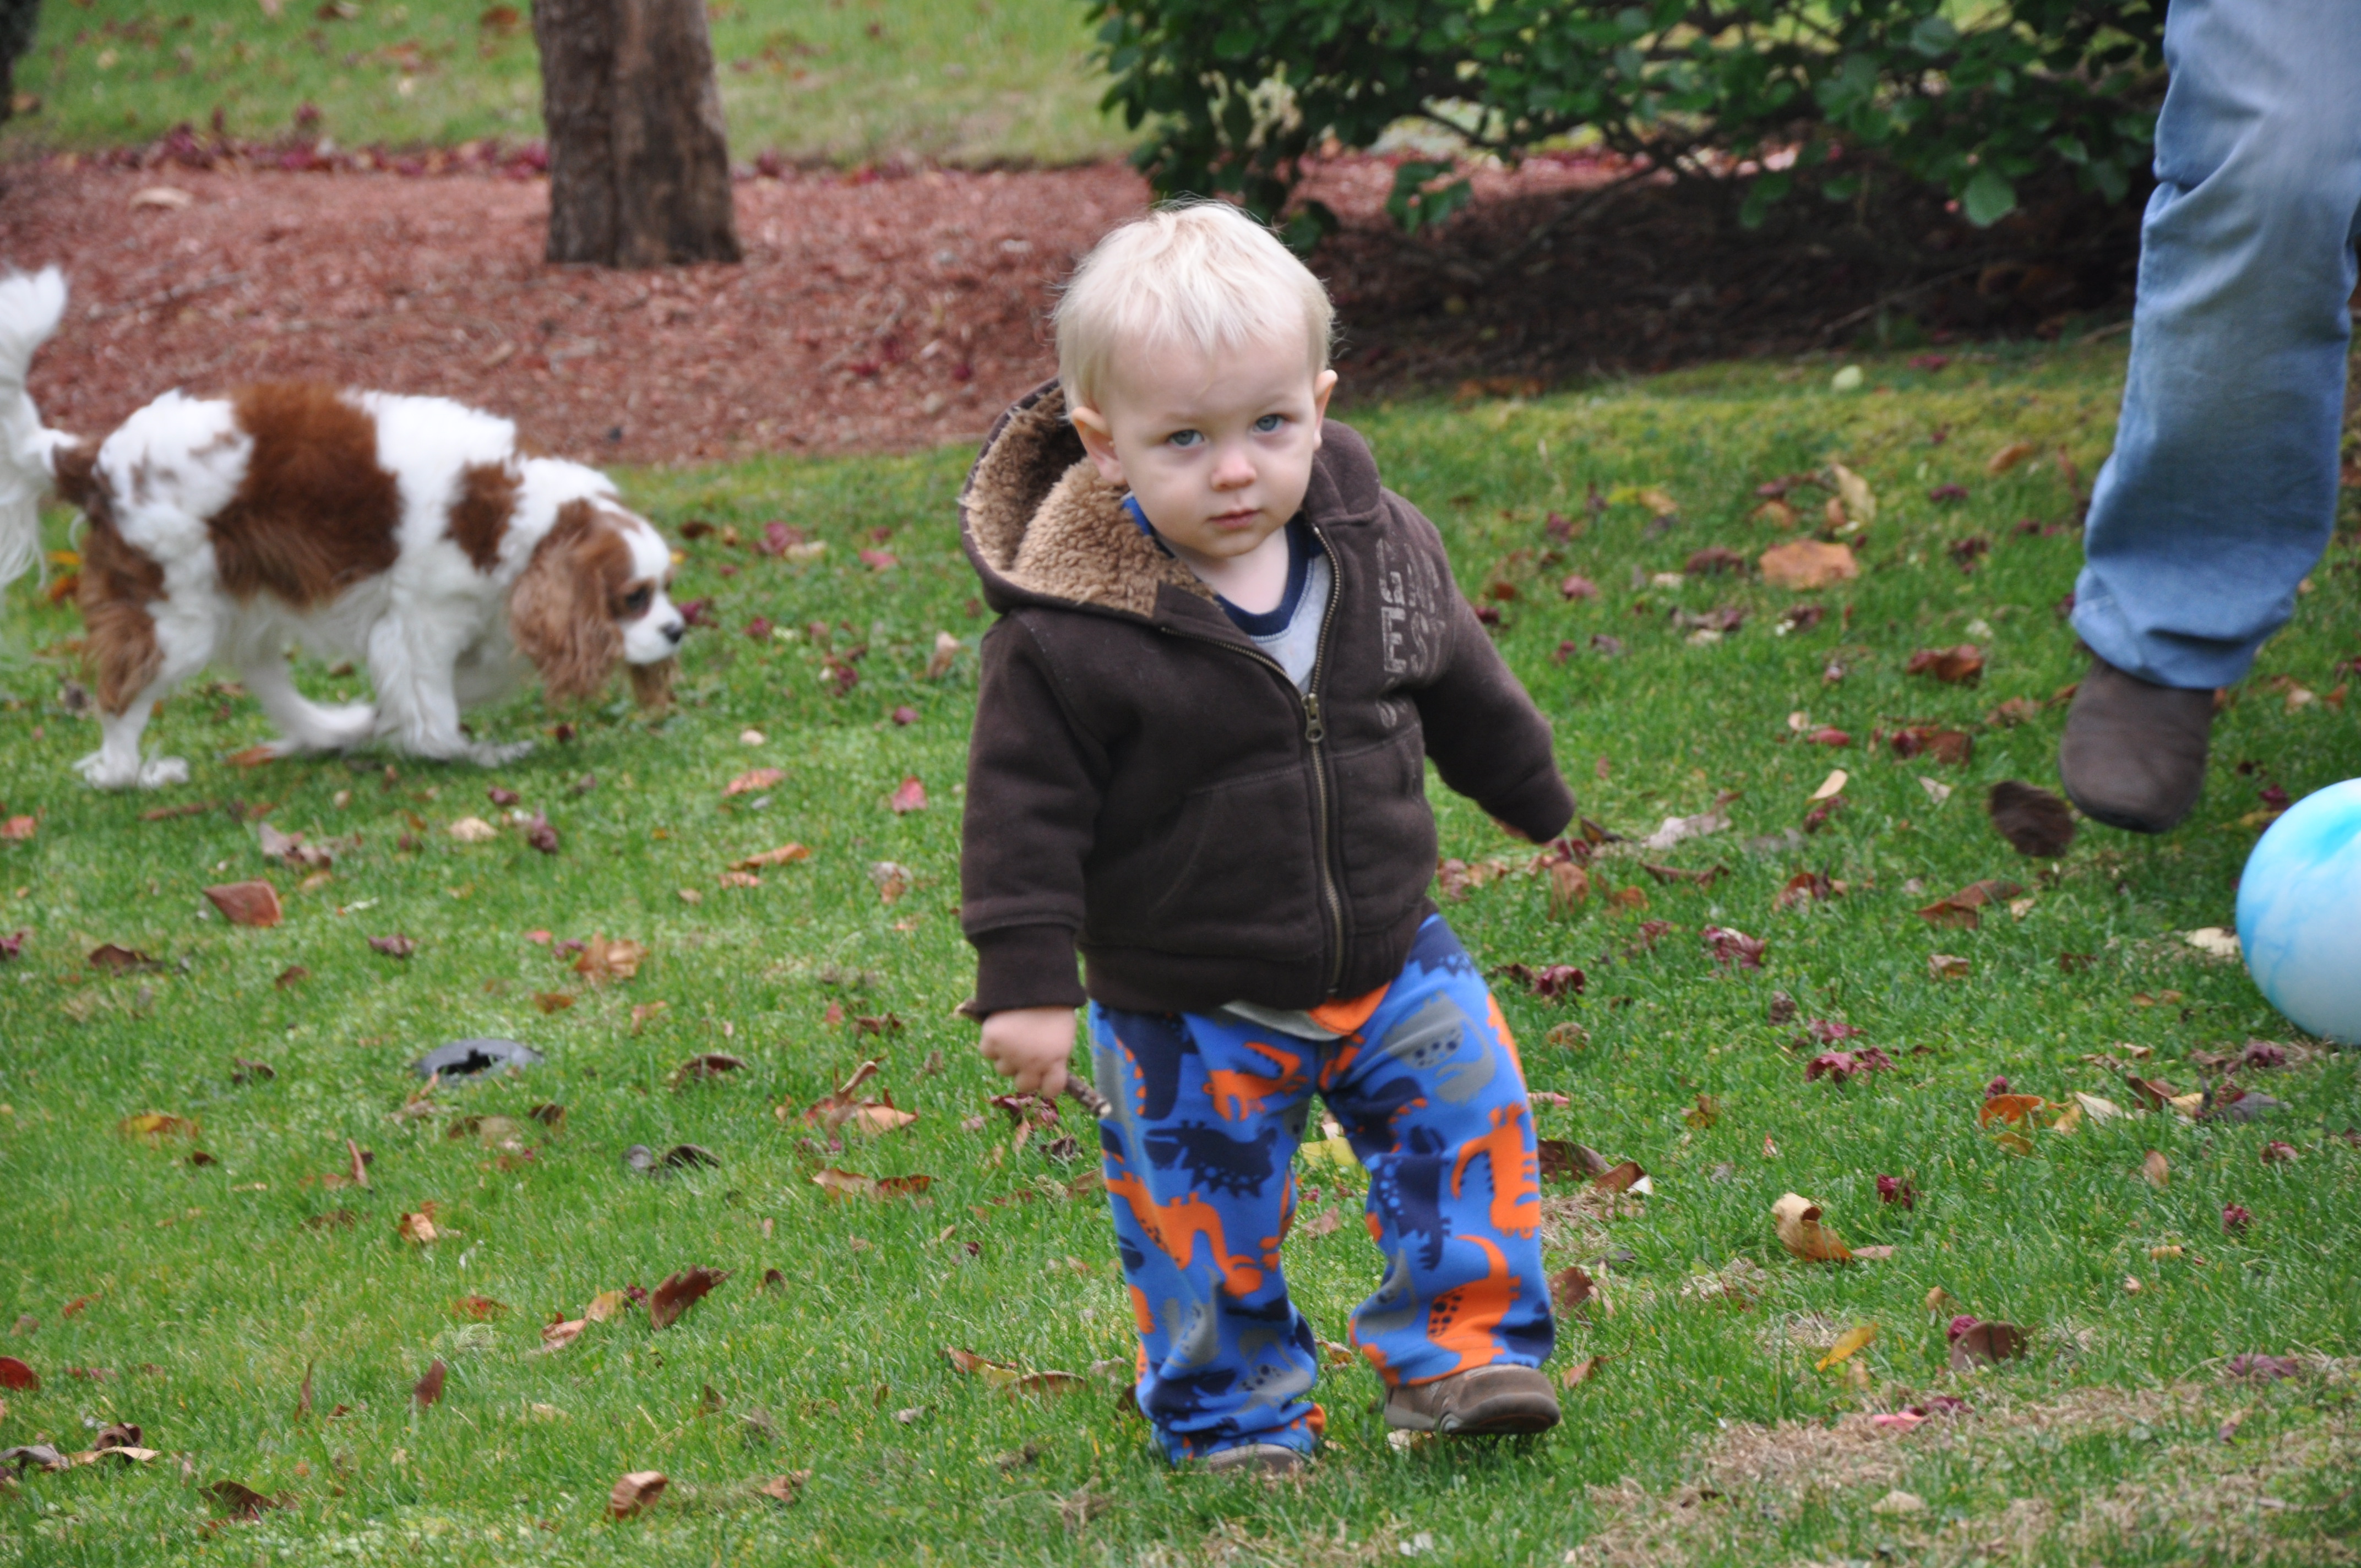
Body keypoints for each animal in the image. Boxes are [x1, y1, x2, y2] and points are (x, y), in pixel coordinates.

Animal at [0, 267, 685, 788]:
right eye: (633, 598)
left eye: (667, 589)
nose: (679, 629)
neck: (516, 515)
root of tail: (94, 458)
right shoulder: (423, 620)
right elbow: (437, 711)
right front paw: (469, 753)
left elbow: (456, 685)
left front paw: (373, 723)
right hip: (175, 619)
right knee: (122, 693)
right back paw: (129, 774)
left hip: (241, 599)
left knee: (261, 673)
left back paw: (325, 731)